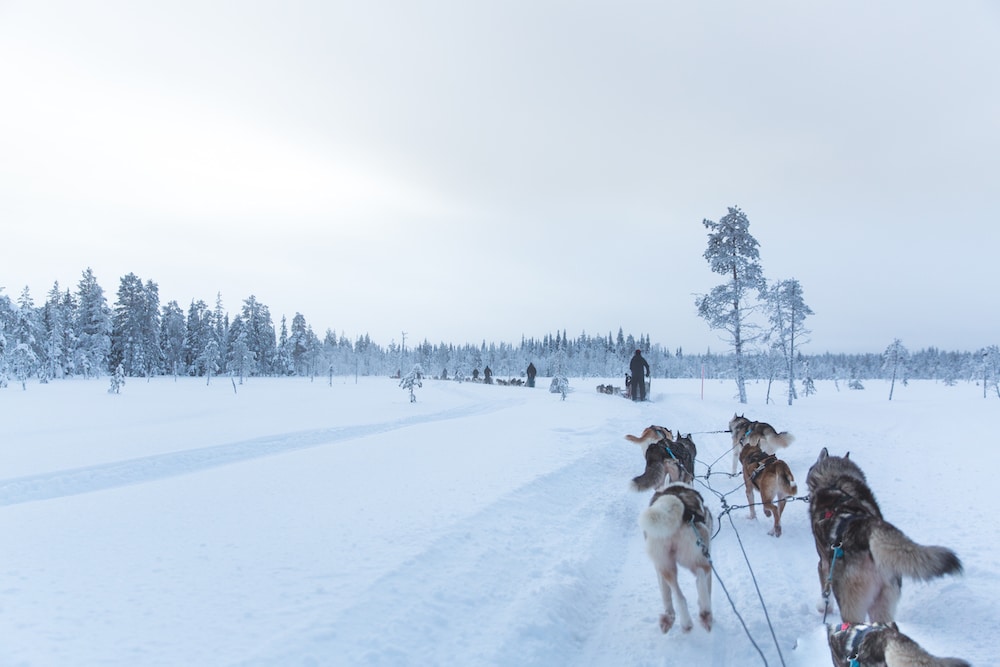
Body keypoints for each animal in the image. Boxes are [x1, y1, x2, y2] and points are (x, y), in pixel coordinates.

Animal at [640, 482, 712, 636]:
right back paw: (704, 613)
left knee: (680, 595)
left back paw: (687, 622)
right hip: (698, 558)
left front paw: (669, 617)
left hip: (666, 566)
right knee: (700, 577)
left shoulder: (659, 569)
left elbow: (666, 596)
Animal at [804, 448, 960, 628]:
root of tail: (866, 528)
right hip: (882, 603)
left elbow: (824, 590)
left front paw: (824, 607)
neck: (833, 481)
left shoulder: (823, 563)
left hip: (852, 605)